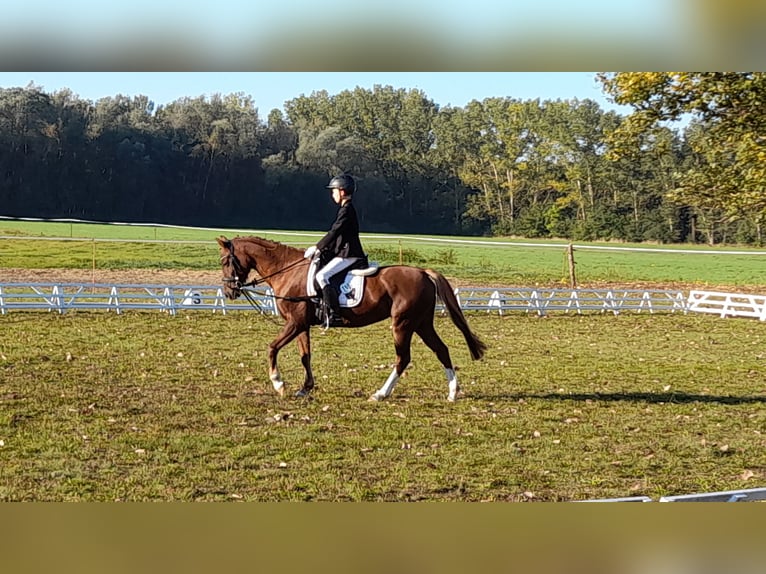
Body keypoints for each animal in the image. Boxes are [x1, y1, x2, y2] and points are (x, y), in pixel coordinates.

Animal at [219, 236, 488, 402]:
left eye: (224, 261)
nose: (229, 292)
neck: (288, 271)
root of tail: (423, 272)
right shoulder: (301, 325)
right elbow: (306, 356)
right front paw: (305, 388)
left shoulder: (294, 324)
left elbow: (272, 348)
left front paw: (278, 383)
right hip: (421, 323)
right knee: (441, 350)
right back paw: (452, 393)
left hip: (402, 324)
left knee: (403, 358)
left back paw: (380, 394)